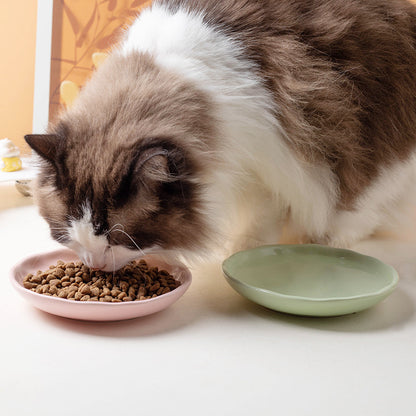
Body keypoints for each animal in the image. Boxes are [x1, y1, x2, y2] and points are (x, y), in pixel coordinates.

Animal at [24, 0, 416, 272]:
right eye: (67, 234)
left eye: (119, 239)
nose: (95, 265)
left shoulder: (274, 154)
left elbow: (267, 211)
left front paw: (245, 248)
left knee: (365, 203)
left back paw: (331, 237)